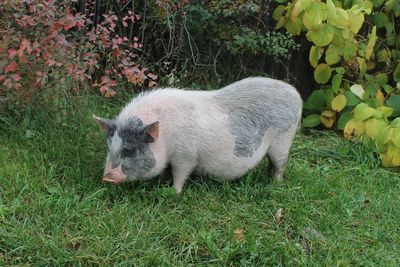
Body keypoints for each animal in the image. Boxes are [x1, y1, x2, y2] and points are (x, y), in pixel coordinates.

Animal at [92, 76, 302, 194]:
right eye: (110, 148)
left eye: (130, 150)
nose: (107, 178)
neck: (166, 135)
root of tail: (295, 92)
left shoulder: (186, 156)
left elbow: (180, 174)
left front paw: (173, 192)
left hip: (283, 140)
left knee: (279, 164)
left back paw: (275, 184)